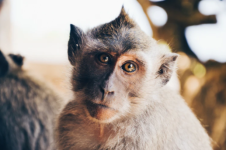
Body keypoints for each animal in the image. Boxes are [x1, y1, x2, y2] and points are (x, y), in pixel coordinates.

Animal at [56, 7, 212, 149]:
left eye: (129, 67)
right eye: (104, 58)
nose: (107, 89)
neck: (104, 127)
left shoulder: (143, 133)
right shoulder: (68, 123)